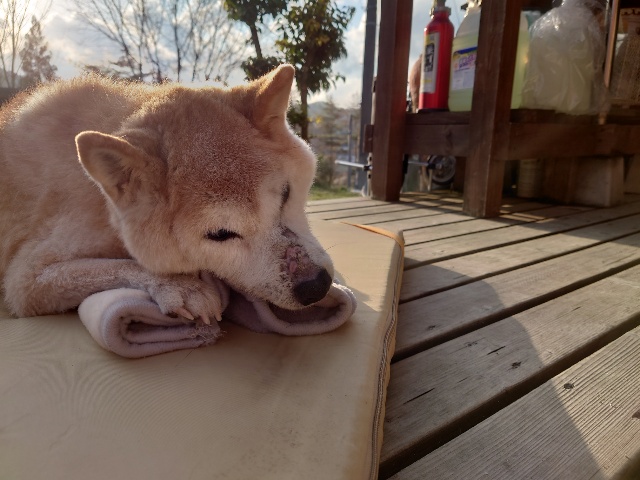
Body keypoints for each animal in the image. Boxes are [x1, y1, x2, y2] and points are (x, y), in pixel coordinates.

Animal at [0, 64, 334, 324]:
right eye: (220, 235)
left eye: (286, 194)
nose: (316, 286)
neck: (101, 201)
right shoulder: (25, 280)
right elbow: (120, 265)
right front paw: (183, 288)